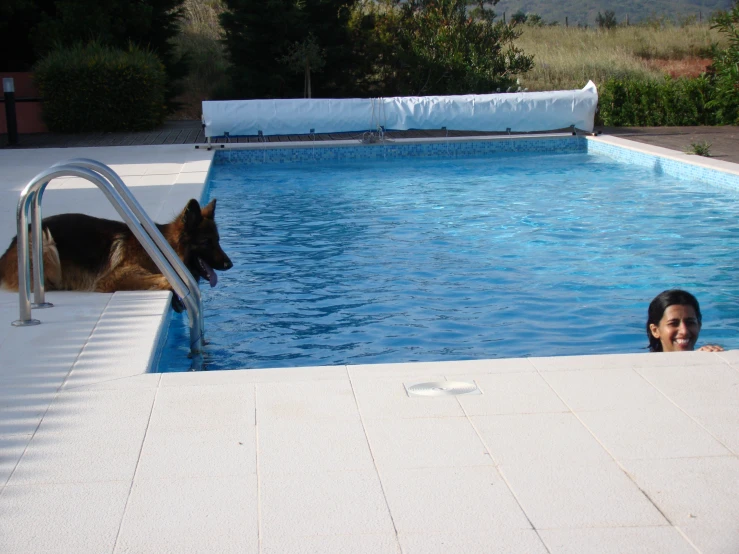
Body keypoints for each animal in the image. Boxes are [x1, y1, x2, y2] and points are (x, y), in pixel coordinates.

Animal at [0, 197, 233, 304]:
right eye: (207, 242)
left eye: (218, 240)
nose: (230, 264)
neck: (165, 248)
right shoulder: (115, 276)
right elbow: (165, 279)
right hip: (47, 242)